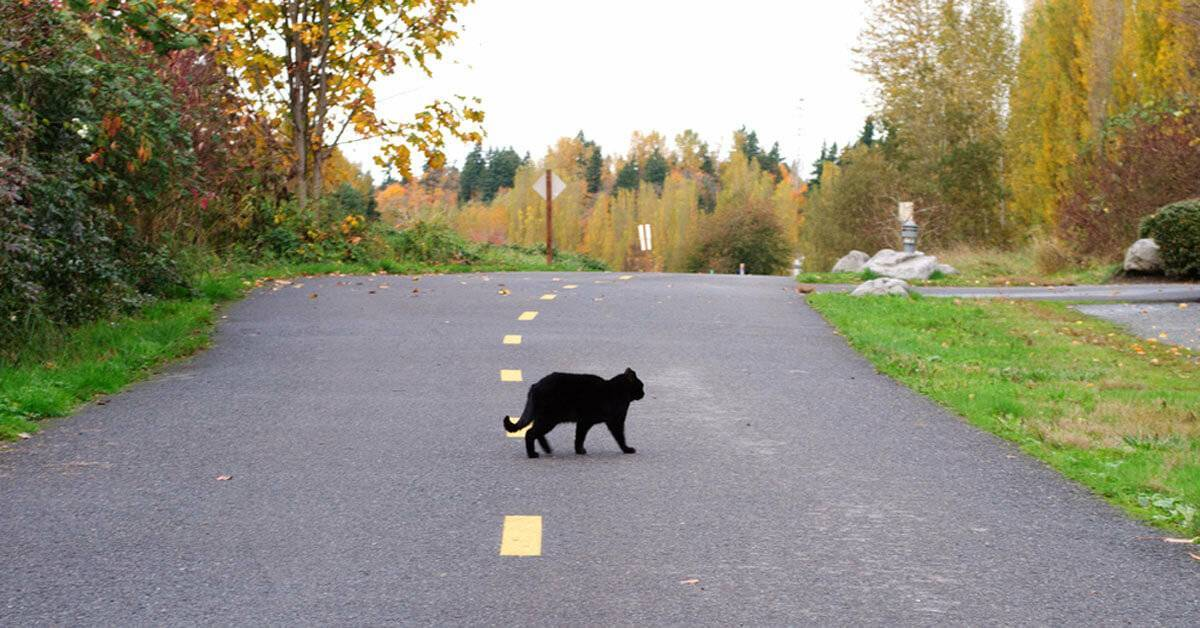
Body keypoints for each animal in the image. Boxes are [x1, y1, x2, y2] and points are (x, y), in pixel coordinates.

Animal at [501, 365, 643, 458]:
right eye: (641, 386)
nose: (644, 393)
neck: (618, 390)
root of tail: (535, 385)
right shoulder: (614, 421)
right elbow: (620, 437)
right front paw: (627, 449)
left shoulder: (584, 422)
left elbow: (579, 437)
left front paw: (579, 450)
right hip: (548, 419)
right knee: (530, 433)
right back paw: (532, 454)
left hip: (545, 419)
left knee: (537, 433)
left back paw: (547, 449)